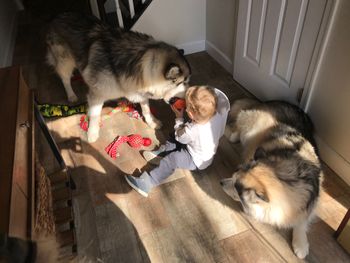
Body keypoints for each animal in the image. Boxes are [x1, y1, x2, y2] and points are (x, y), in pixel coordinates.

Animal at [45, 12, 191, 142]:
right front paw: (92, 133)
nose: (190, 93)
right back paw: (71, 95)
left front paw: (152, 122)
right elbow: (95, 114)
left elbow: (146, 109)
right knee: (65, 79)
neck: (140, 61)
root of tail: (56, 15)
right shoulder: (97, 95)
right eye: (181, 83)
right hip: (65, 61)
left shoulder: (139, 91)